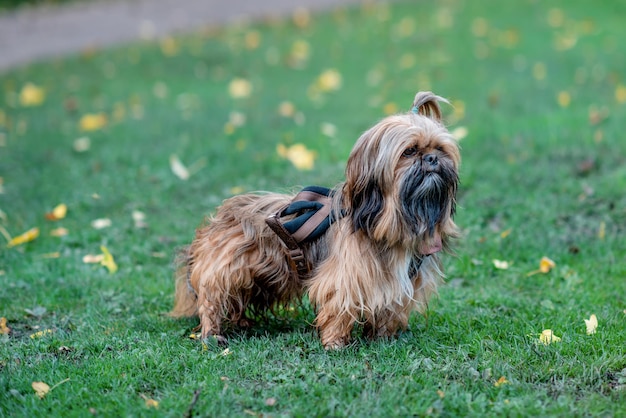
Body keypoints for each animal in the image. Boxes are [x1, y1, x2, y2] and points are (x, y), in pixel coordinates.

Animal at [171, 91, 458, 350]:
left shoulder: (400, 281)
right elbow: (338, 307)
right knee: (212, 300)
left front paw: (383, 337)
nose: (432, 158)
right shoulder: (345, 277)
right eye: (409, 151)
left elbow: (391, 307)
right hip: (227, 270)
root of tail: (215, 222)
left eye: (440, 149)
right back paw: (212, 334)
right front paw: (335, 343)